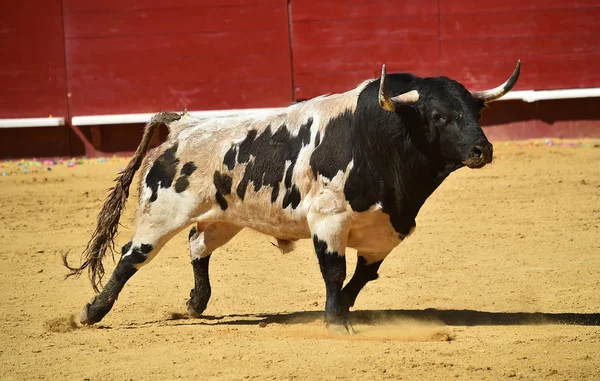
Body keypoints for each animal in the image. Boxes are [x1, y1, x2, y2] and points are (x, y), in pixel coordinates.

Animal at [62, 60, 520, 332]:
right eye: (438, 116)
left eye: (476, 113)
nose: (482, 149)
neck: (381, 139)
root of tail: (183, 125)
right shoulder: (328, 221)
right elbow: (335, 272)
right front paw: (336, 324)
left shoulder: (386, 231)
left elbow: (361, 278)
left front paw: (342, 312)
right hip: (162, 211)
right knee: (130, 257)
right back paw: (92, 312)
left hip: (225, 216)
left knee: (197, 244)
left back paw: (196, 303)